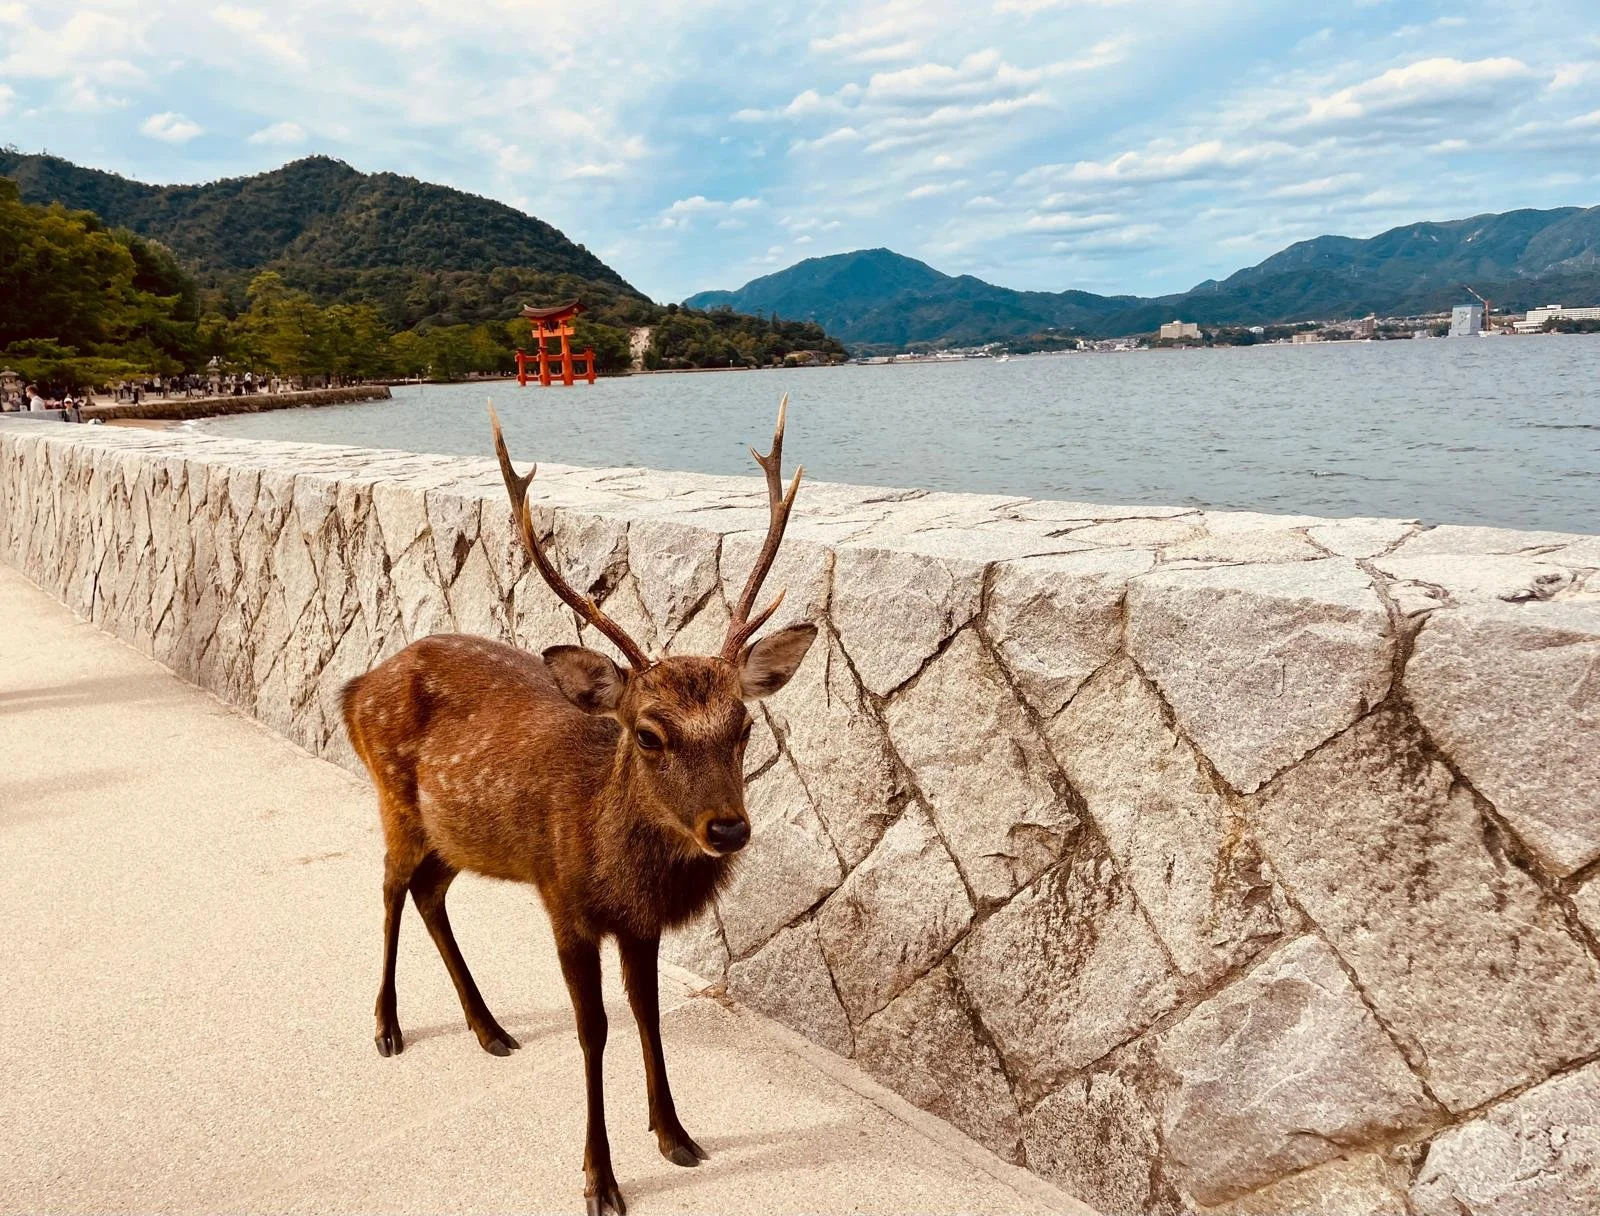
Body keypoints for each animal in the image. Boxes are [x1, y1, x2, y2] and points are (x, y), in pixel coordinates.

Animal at [340, 397, 816, 1216]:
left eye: (744, 725)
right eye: (648, 732)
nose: (727, 827)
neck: (618, 864)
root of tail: (353, 687)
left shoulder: (638, 920)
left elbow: (647, 1013)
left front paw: (676, 1135)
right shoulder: (563, 898)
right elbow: (593, 1029)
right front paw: (600, 1178)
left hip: (460, 835)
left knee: (430, 893)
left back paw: (489, 1028)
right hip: (393, 797)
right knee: (390, 885)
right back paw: (388, 1026)